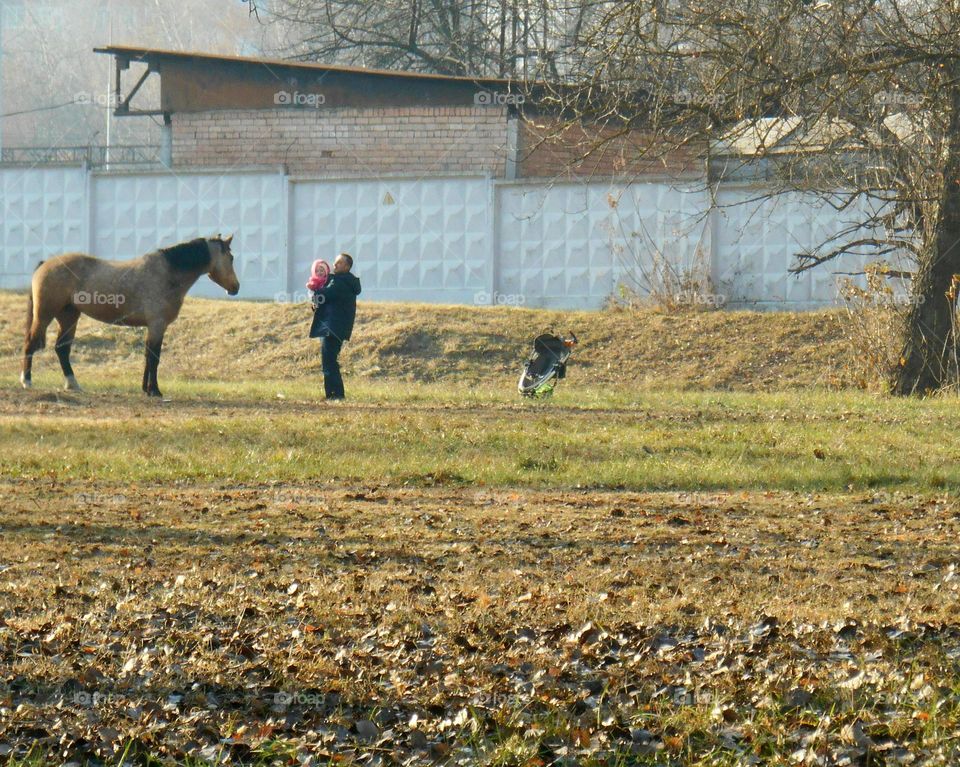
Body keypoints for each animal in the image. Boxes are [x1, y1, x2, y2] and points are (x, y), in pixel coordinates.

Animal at [21, 236, 239, 400]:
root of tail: (45, 264)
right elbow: (154, 358)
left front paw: (146, 389)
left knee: (62, 349)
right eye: (231, 257)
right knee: (31, 343)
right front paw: (155, 391)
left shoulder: (153, 327)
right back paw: (27, 381)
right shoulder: (157, 325)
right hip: (45, 315)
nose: (235, 288)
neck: (167, 273)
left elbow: (147, 356)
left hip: (68, 316)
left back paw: (73, 384)